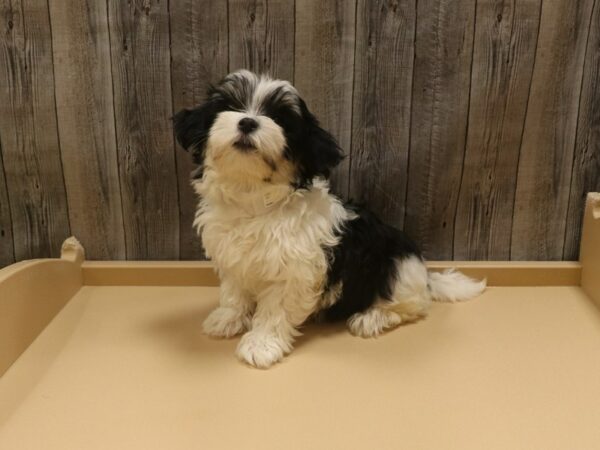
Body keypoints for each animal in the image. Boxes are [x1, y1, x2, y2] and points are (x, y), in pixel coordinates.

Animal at [172, 68, 482, 368]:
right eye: (230, 106)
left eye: (280, 120)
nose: (248, 122)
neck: (253, 197)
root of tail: (426, 276)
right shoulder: (233, 258)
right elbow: (234, 292)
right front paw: (227, 318)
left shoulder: (294, 272)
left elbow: (275, 309)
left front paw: (261, 345)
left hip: (396, 268)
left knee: (409, 307)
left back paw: (371, 317)